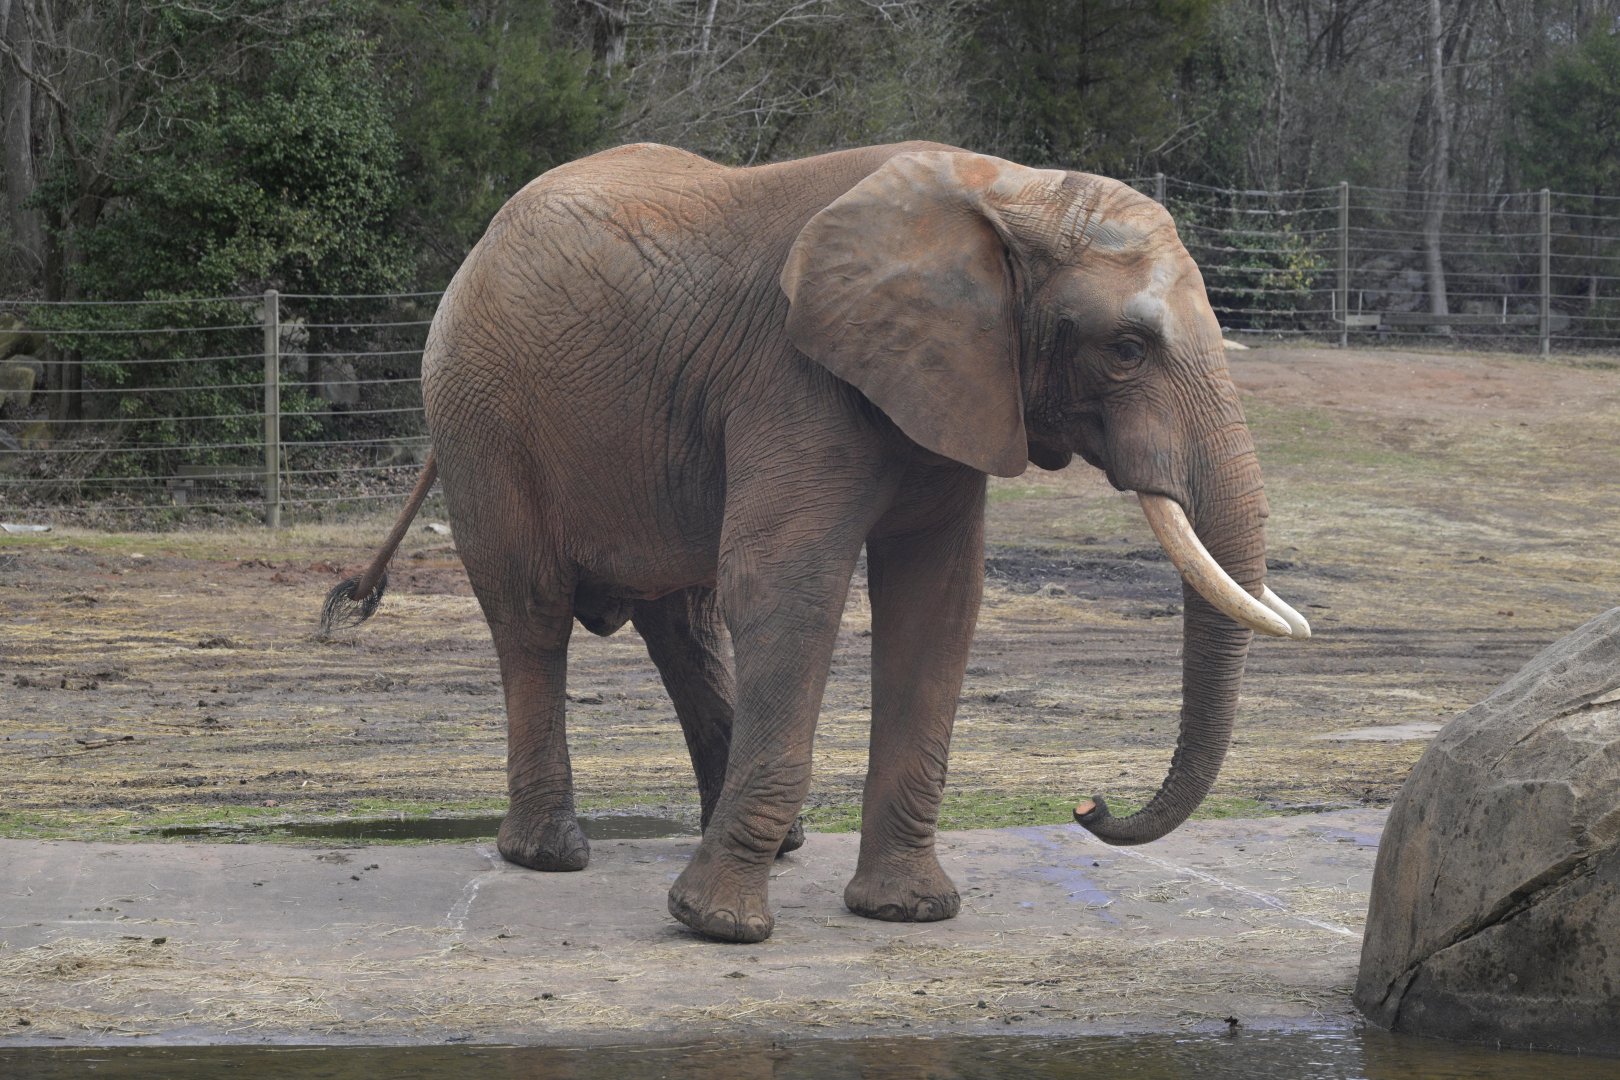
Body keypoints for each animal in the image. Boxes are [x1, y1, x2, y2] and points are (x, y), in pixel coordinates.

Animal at [321, 141, 1310, 944]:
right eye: (1127, 348)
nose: (1087, 800)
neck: (1006, 190)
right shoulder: (794, 377)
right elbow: (785, 585)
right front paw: (718, 928)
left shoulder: (952, 387)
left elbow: (938, 601)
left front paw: (908, 913)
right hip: (482, 417)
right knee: (532, 613)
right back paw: (551, 856)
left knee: (681, 621)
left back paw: (779, 842)